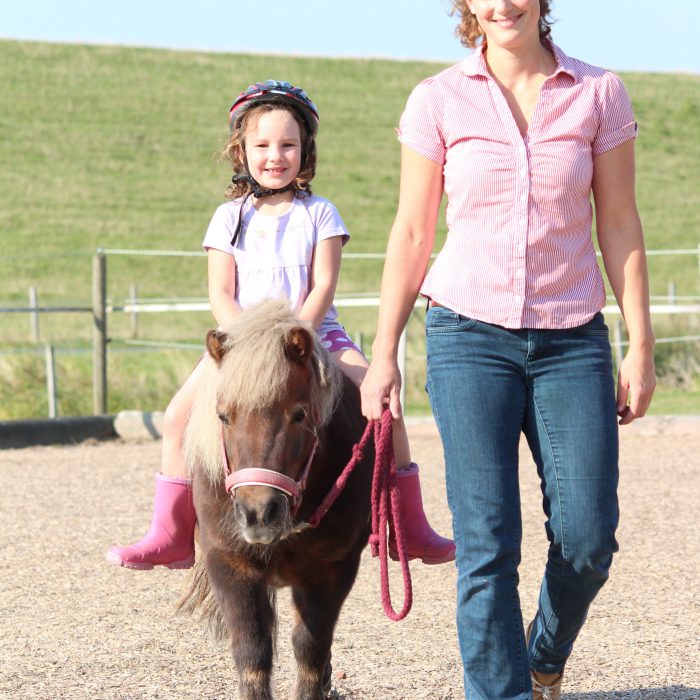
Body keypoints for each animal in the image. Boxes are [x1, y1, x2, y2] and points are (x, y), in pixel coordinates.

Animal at [183, 300, 374, 700]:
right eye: (223, 416)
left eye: (298, 415)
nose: (257, 513)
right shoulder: (229, 563)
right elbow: (252, 652)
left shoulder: (332, 568)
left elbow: (310, 649)